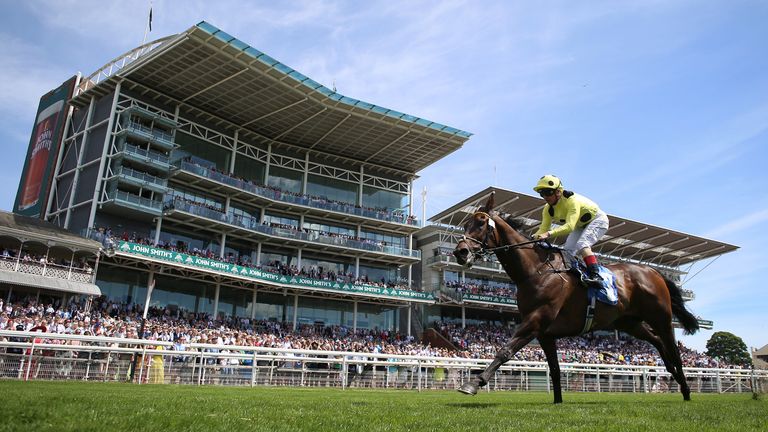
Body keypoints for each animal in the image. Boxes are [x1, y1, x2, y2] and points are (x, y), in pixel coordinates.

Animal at [452, 192, 700, 402]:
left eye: (481, 223)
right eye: (465, 224)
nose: (460, 252)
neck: (536, 271)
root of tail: (653, 271)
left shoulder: (536, 320)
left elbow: (505, 350)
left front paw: (474, 383)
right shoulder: (545, 333)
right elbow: (554, 368)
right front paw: (558, 401)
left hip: (661, 317)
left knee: (673, 348)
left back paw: (686, 390)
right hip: (629, 322)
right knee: (657, 341)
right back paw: (673, 375)